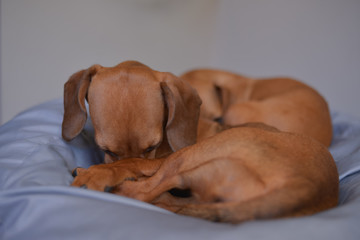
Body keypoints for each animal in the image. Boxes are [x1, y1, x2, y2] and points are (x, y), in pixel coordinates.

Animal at [71, 124, 338, 223]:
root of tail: (309, 186)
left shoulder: (160, 161)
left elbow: (132, 164)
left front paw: (97, 173)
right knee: (164, 200)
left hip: (187, 159)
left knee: (145, 192)